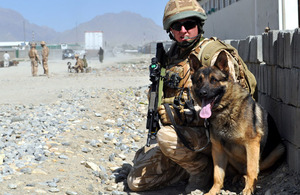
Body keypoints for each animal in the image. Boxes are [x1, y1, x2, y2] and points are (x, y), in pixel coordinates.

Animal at [191, 52, 284, 195]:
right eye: (199, 81)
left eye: (214, 80)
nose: (202, 93)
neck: (225, 109)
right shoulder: (217, 149)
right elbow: (217, 175)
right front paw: (213, 191)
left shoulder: (252, 143)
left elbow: (252, 169)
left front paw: (249, 189)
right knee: (241, 171)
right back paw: (239, 177)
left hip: (279, 150)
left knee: (259, 169)